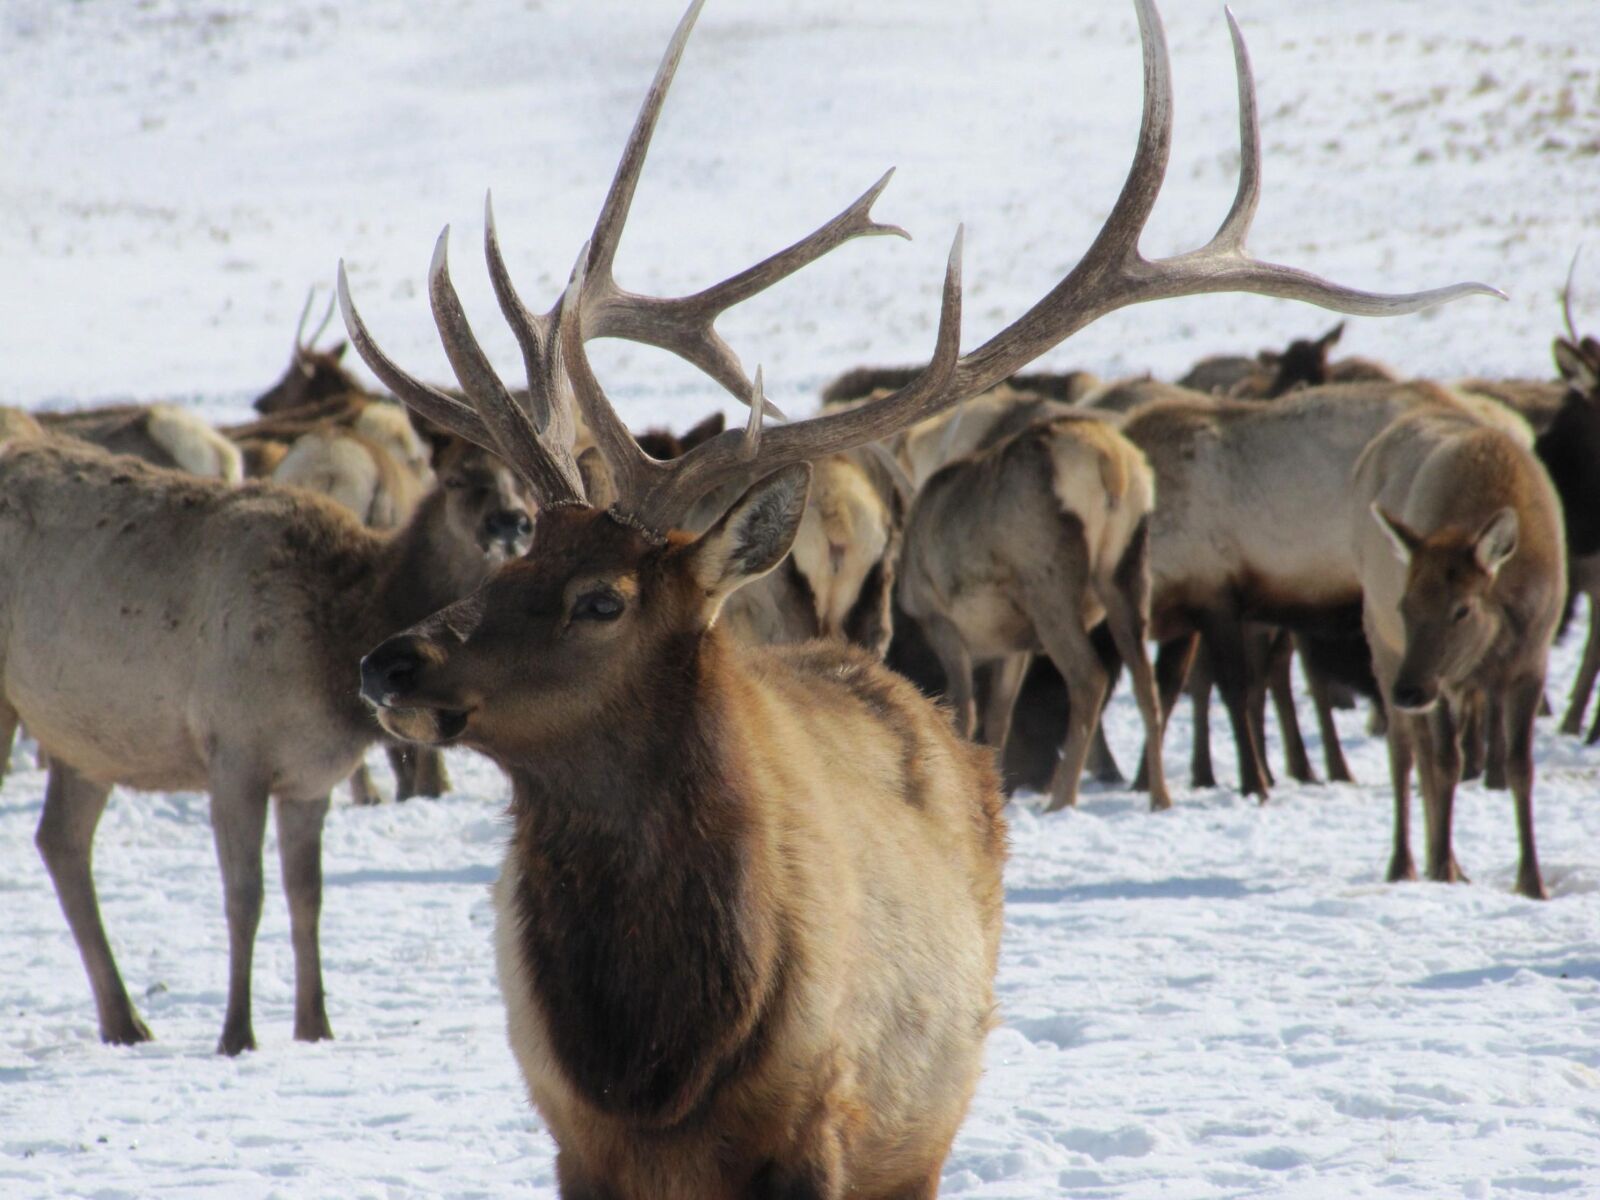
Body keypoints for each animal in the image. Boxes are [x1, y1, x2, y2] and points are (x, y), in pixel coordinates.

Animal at [0, 431, 534, 1055]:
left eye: (525, 484)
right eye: (454, 479)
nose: (511, 523)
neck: (336, 647)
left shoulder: (308, 778)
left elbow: (307, 896)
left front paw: (315, 1027)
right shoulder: (234, 755)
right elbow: (244, 896)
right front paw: (237, 1034)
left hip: (85, 738)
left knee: (60, 840)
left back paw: (124, 1021)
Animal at [334, 0, 1489, 1192]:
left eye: (601, 601)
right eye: (511, 558)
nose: (387, 660)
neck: (660, 1066)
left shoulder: (817, 1124)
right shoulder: (577, 1140)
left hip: (926, 1120)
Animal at [1354, 404, 1565, 900]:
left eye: (1462, 609)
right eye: (1405, 605)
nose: (1408, 692)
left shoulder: (1531, 664)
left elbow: (1519, 767)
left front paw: (1532, 881)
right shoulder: (1444, 679)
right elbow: (1446, 763)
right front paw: (1442, 872)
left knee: (1423, 752)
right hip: (1383, 646)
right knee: (1406, 752)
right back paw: (1408, 862)